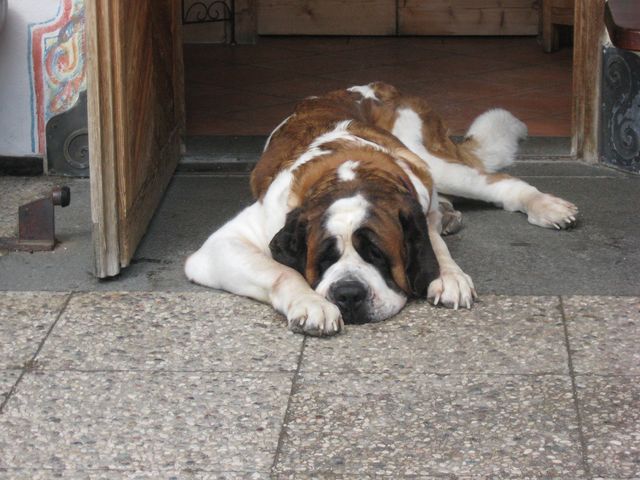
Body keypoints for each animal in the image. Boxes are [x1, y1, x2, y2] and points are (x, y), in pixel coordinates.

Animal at [182, 82, 576, 336]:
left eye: (377, 254)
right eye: (324, 258)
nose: (347, 294)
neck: (349, 174)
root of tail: (379, 87)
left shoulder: (418, 202)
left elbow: (434, 243)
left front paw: (448, 274)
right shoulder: (225, 244)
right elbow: (283, 273)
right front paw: (310, 304)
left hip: (436, 161)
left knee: (501, 183)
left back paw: (548, 207)